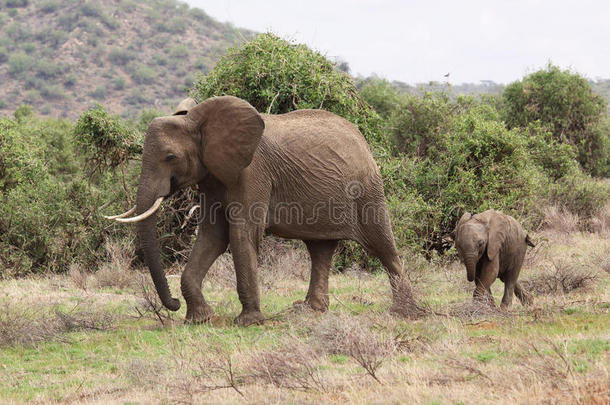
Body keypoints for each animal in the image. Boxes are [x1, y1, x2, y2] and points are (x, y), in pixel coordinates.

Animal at [105, 95, 418, 326]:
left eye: (170, 157)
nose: (173, 304)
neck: (201, 122)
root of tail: (362, 139)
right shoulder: (212, 176)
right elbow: (213, 236)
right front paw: (198, 320)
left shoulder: (252, 173)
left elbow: (242, 234)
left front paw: (248, 322)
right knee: (320, 249)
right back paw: (309, 311)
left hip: (367, 189)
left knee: (382, 245)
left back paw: (405, 313)